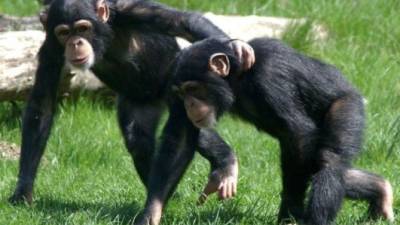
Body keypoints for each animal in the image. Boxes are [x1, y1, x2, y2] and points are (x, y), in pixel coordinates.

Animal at [9, 0, 256, 206]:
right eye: (64, 33)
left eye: (82, 28)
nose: (75, 42)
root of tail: (157, 96)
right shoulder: (51, 46)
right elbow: (42, 104)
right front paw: (23, 191)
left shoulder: (131, 10)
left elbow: (183, 22)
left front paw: (239, 49)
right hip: (139, 101)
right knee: (138, 139)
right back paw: (168, 195)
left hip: (184, 91)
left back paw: (224, 163)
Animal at [140, 37, 394, 224]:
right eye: (182, 93)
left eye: (193, 88)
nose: (190, 105)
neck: (238, 79)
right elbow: (181, 140)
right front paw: (152, 212)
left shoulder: (269, 79)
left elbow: (298, 133)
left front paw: (290, 212)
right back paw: (381, 190)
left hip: (348, 106)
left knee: (328, 161)